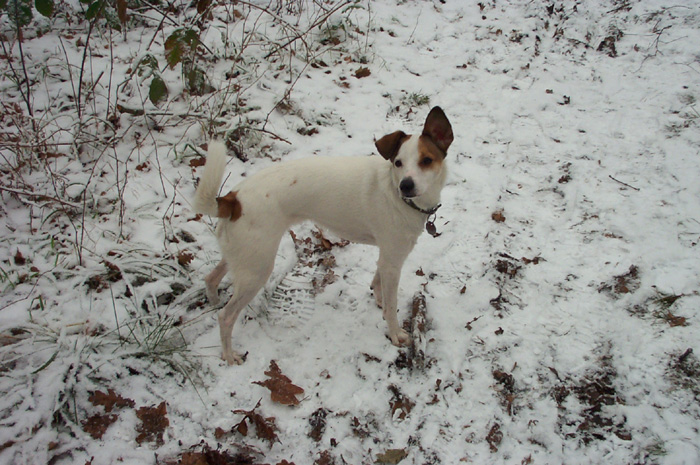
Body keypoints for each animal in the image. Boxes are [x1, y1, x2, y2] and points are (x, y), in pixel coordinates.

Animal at [193, 107, 454, 364]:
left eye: (426, 160)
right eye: (398, 162)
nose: (406, 186)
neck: (394, 190)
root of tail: (233, 199)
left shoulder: (387, 256)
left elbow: (378, 281)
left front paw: (378, 300)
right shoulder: (393, 259)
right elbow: (392, 305)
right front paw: (395, 333)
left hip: (242, 256)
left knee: (211, 279)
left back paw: (213, 303)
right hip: (257, 269)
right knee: (226, 317)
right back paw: (229, 355)